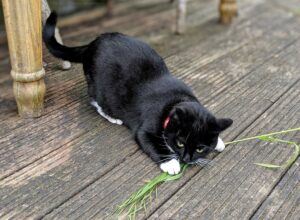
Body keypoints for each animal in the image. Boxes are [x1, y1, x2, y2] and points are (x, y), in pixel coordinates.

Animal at [43, 12, 233, 175]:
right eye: (180, 143)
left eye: (201, 148)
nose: (186, 159)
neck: (177, 100)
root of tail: (92, 43)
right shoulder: (145, 129)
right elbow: (151, 142)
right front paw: (170, 163)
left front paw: (219, 142)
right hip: (100, 87)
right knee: (95, 100)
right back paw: (113, 117)